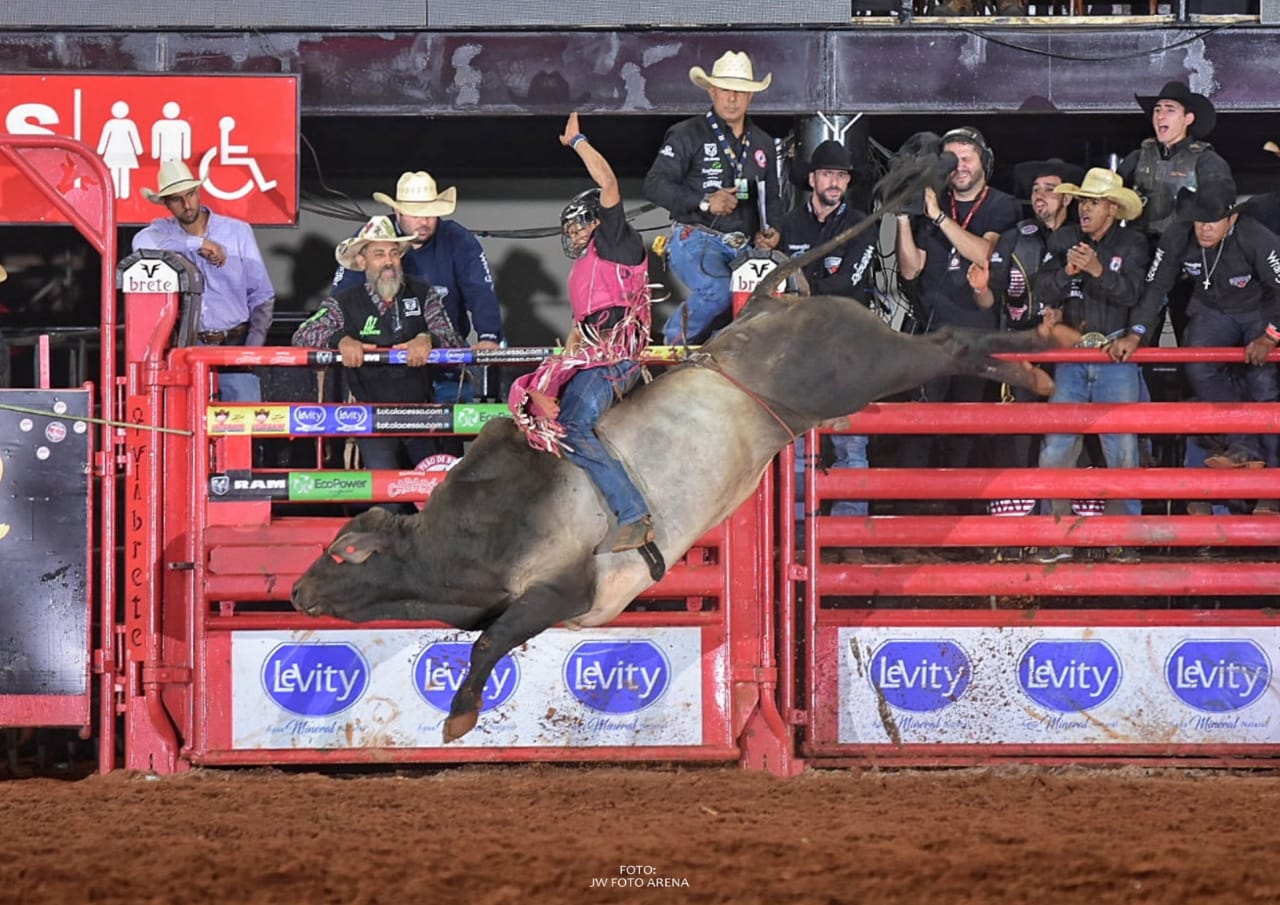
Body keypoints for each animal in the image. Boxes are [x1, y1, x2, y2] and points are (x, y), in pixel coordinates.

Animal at [294, 150, 1054, 742]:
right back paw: (1044, 354)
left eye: (344, 550)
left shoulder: (564, 590)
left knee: (950, 343)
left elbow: (489, 642)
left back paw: (1044, 358)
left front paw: (457, 717)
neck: (479, 535)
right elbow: (484, 639)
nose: (298, 589)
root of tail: (769, 305)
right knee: (953, 344)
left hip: (863, 367)